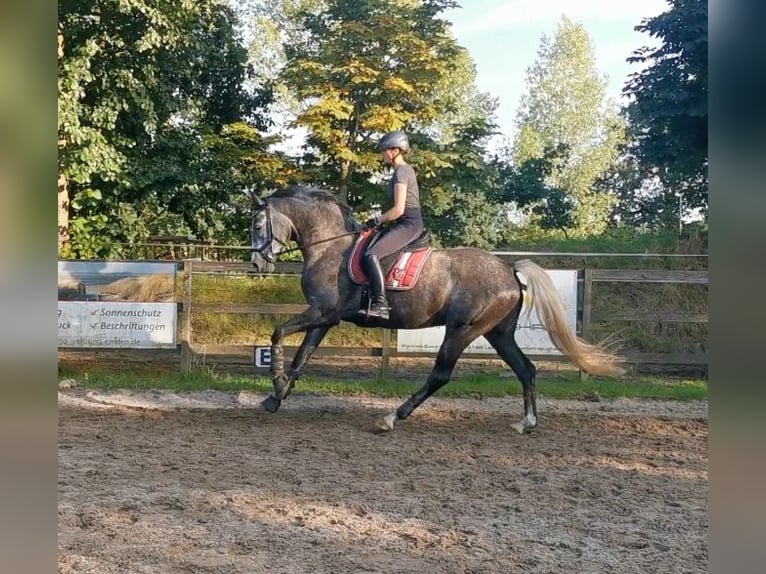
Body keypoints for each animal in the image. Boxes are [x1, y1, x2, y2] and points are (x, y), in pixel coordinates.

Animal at [252, 187, 624, 434]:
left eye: (257, 226)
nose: (258, 264)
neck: (330, 246)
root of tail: (508, 270)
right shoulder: (325, 316)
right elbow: (303, 355)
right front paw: (277, 396)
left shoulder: (322, 312)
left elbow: (278, 333)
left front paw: (276, 380)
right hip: (498, 332)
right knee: (526, 369)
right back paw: (526, 423)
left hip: (462, 329)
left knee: (441, 374)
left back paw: (392, 416)